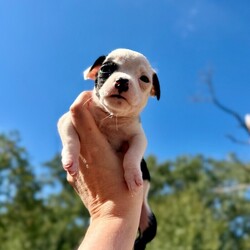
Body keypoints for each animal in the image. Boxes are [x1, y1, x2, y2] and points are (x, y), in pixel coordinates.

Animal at [57, 47, 161, 249]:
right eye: (106, 69)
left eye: (144, 79)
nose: (122, 81)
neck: (111, 117)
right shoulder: (67, 119)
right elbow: (70, 137)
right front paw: (70, 160)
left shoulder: (139, 137)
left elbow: (133, 155)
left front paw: (133, 176)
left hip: (149, 219)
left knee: (144, 237)